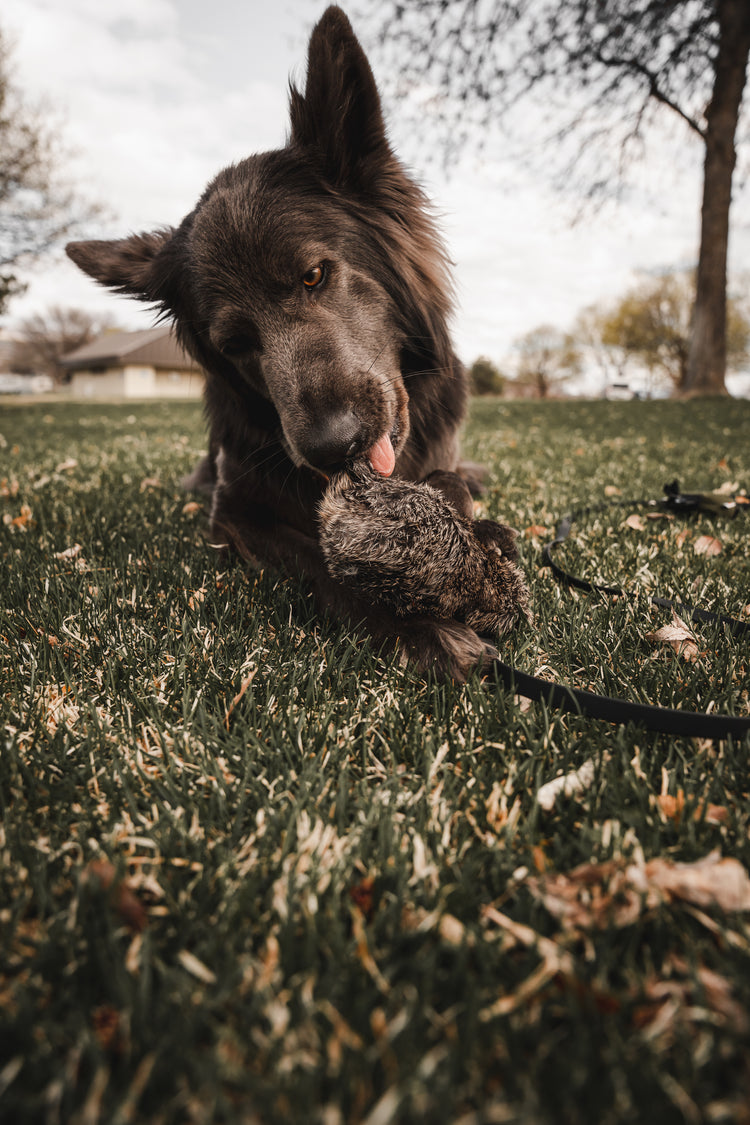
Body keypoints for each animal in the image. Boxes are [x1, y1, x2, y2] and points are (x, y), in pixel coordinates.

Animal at [67, 6, 508, 675]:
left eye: (314, 275)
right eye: (235, 342)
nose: (333, 448)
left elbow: (449, 484)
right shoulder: (234, 510)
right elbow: (316, 560)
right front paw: (416, 623)